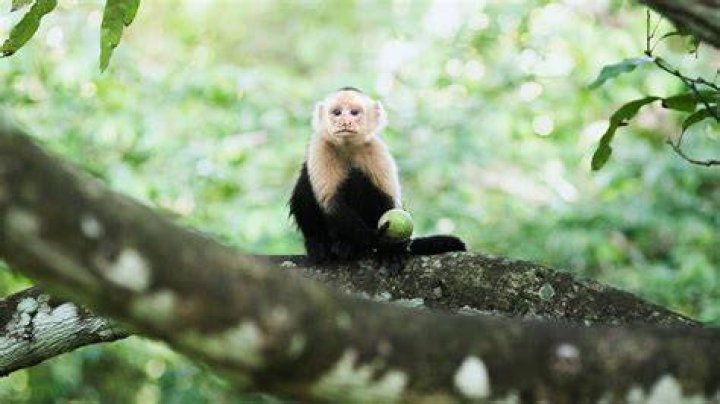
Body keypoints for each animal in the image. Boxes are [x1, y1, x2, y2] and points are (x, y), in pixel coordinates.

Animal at [288, 87, 466, 271]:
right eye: (337, 112)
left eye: (354, 112)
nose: (345, 121)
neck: (347, 146)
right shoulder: (320, 146)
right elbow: (331, 203)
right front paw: (375, 237)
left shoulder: (375, 149)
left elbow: (391, 202)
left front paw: (390, 249)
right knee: (305, 181)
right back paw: (320, 243)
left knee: (358, 178)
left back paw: (351, 246)